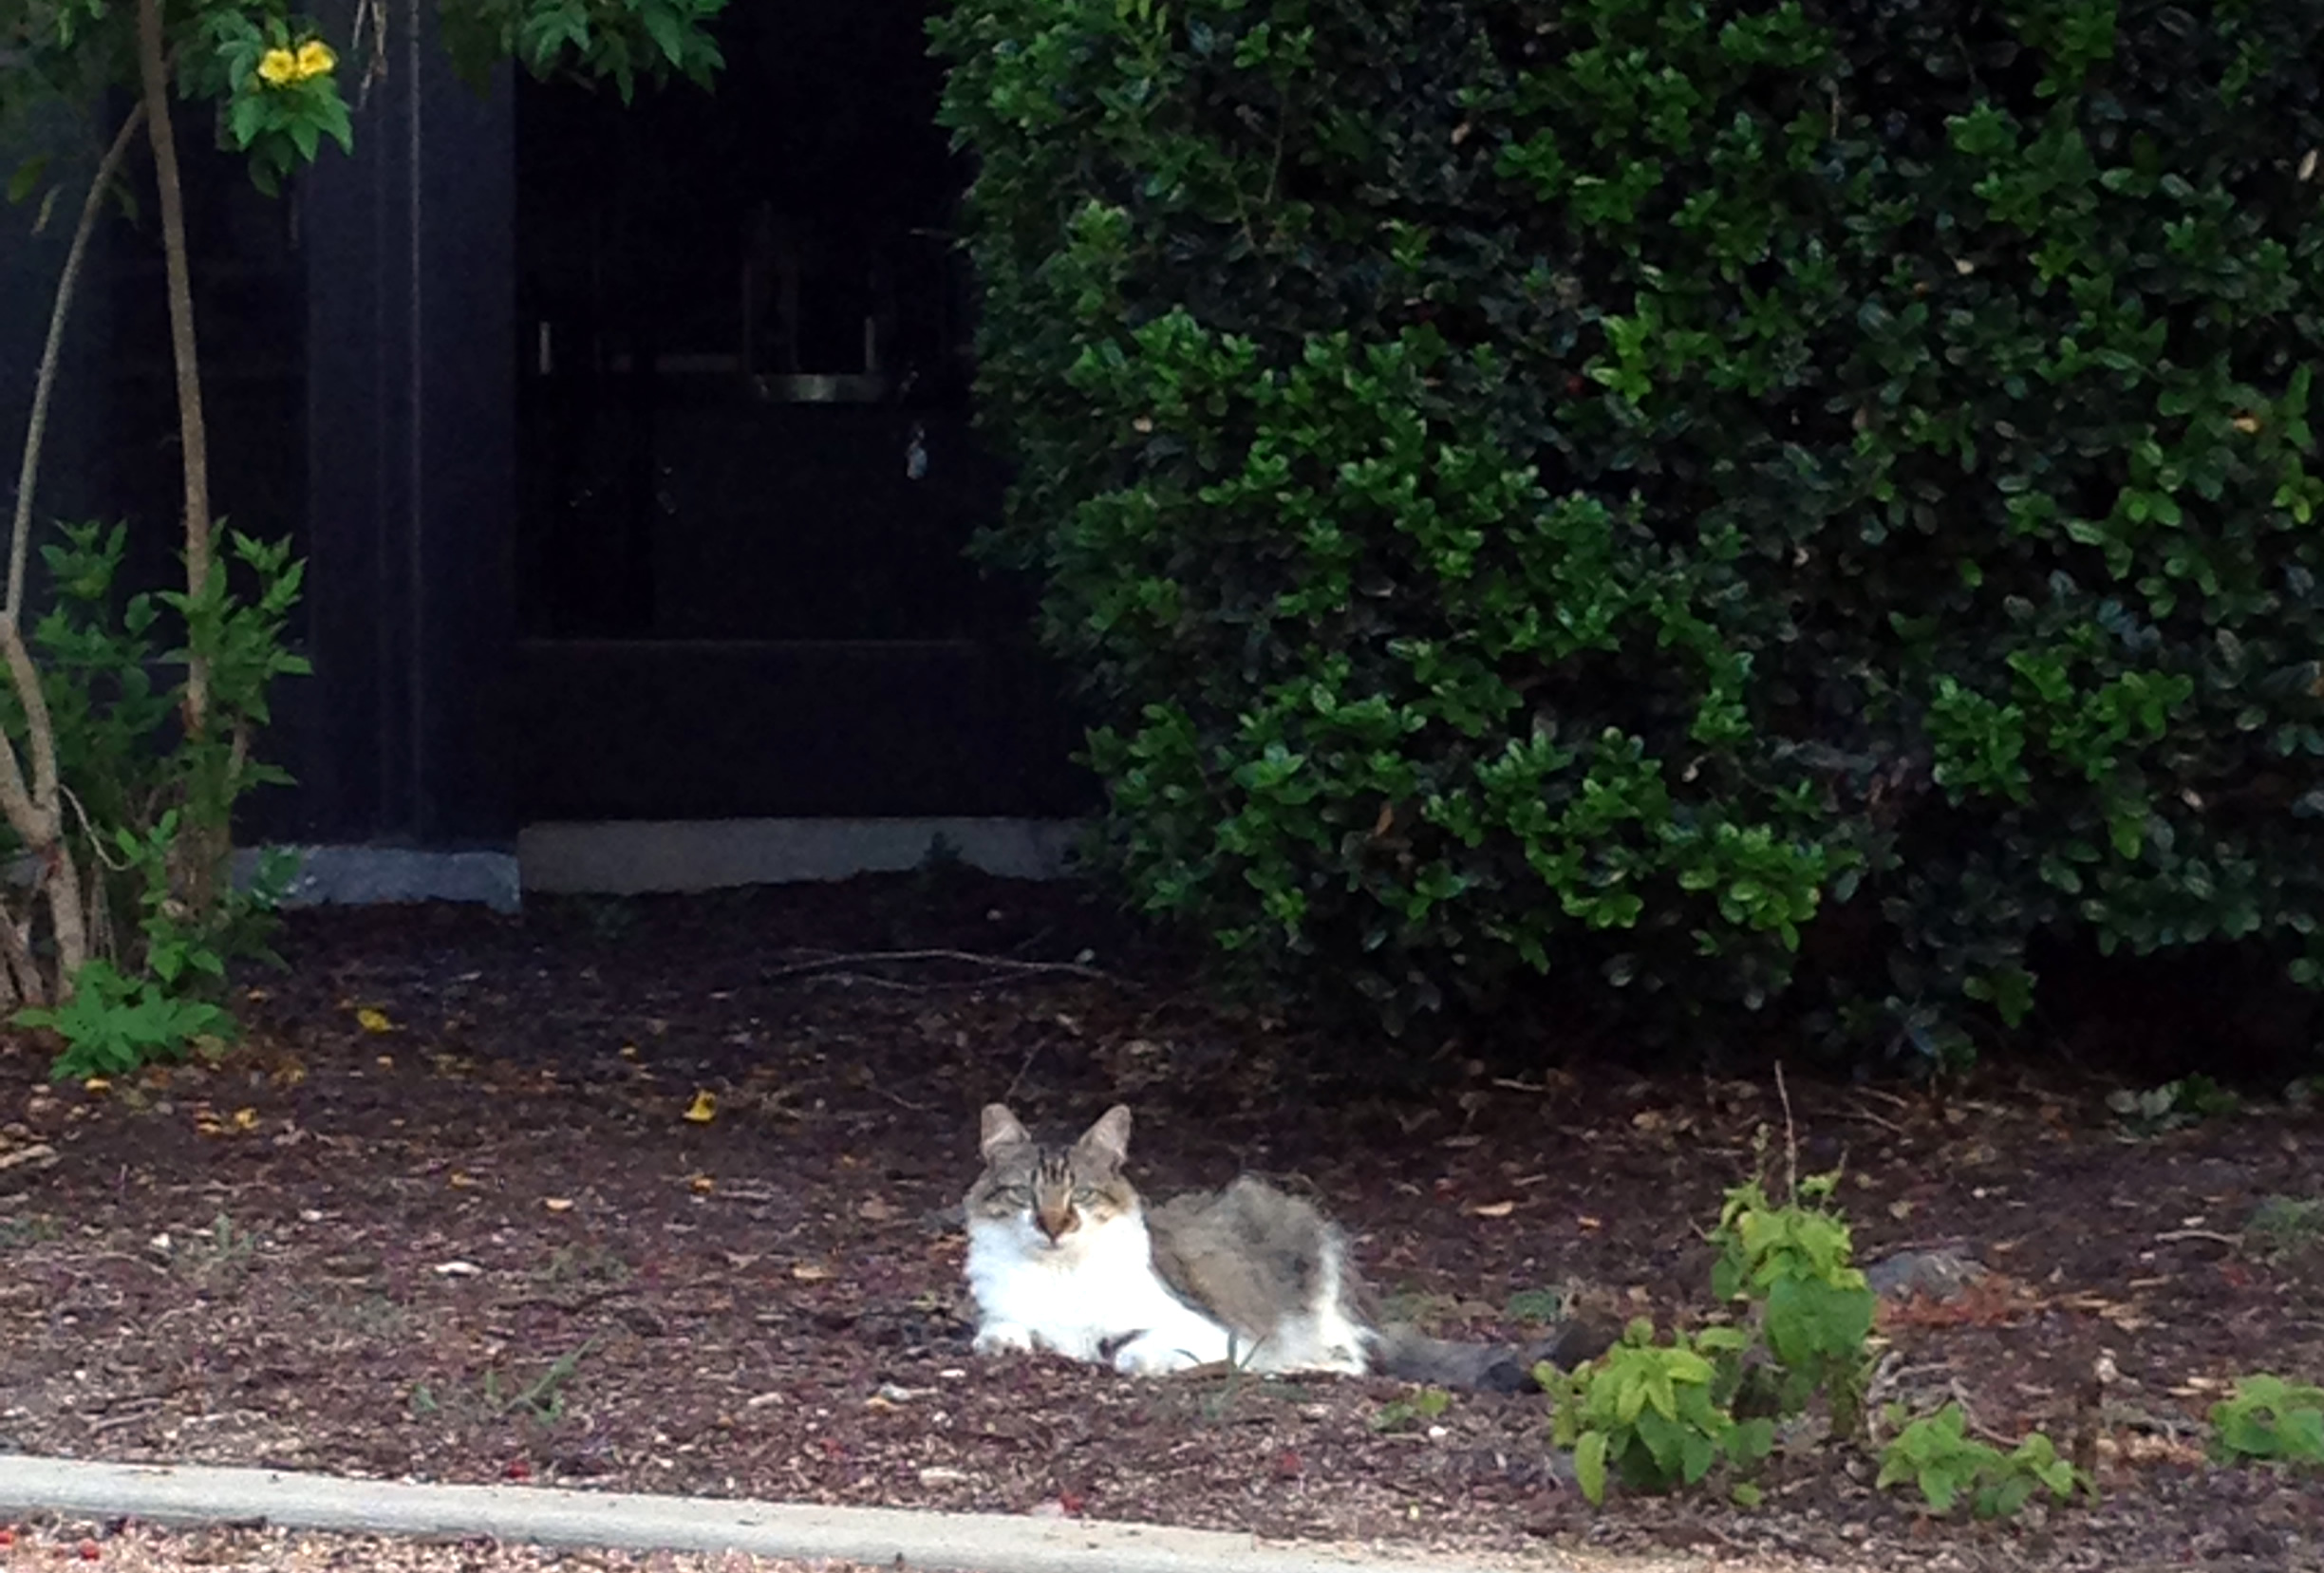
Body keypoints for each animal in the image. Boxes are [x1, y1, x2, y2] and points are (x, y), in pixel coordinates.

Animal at [961, 1102, 1608, 1390]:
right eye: (1025, 1193)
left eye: (1083, 1194)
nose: (1052, 1226)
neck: (1058, 1274)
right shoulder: (1005, 1313)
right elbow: (999, 1331)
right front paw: (1009, 1344)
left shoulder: (1206, 1330)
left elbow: (1132, 1350)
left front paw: (1130, 1357)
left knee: (1353, 1356)